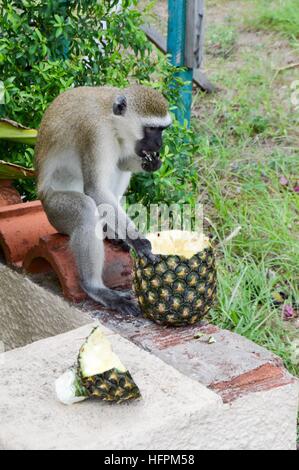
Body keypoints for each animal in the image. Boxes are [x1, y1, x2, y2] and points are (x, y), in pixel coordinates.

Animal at [35, 86, 171, 318]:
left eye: (162, 130)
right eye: (151, 128)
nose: (159, 144)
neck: (112, 119)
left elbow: (123, 162)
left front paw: (151, 162)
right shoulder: (97, 134)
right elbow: (96, 189)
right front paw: (139, 241)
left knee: (118, 167)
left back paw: (110, 231)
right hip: (54, 211)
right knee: (86, 210)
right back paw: (95, 287)